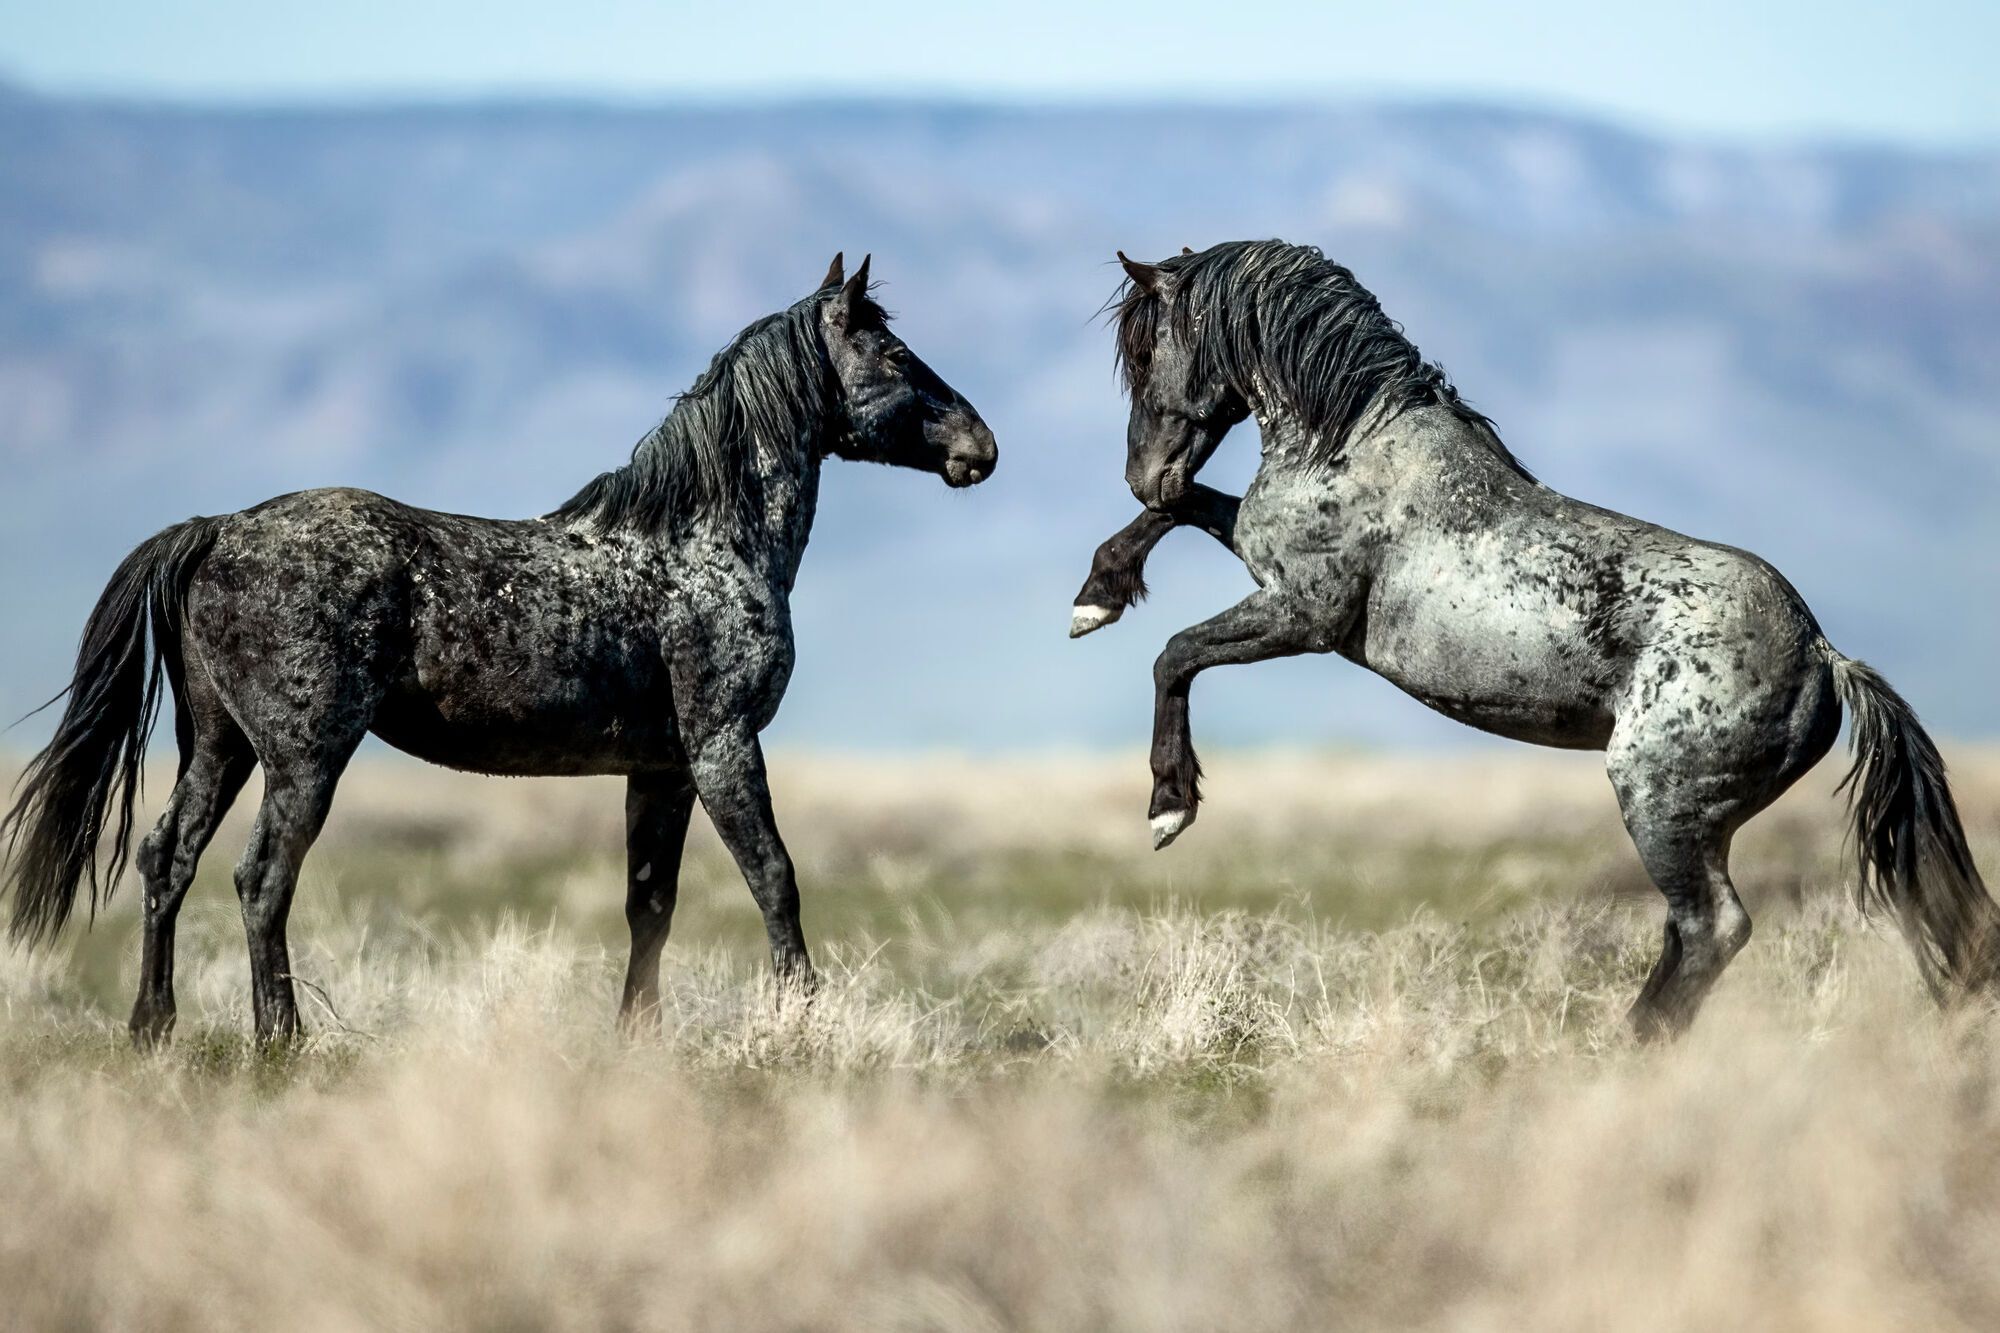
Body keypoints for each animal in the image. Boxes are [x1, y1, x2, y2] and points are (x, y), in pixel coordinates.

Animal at [0, 249, 1000, 1040]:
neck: (701, 540)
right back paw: (280, 1037)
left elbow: (650, 902)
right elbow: (774, 877)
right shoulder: (724, 746)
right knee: (261, 878)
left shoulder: (663, 769)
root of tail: (214, 529)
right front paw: (803, 1018)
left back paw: (153, 1026)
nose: (980, 446)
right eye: (894, 352)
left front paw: (637, 1034)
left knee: (167, 859)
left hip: (218, 745)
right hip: (301, 759)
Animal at [1080, 239, 2000, 1032]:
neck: (1356, 442)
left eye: (1147, 351)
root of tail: (1821, 655)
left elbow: (1176, 652)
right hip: (1698, 820)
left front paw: (1168, 805)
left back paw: (1629, 1049)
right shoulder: (1261, 562)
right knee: (1686, 931)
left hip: (1659, 803)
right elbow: (1186, 511)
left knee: (1713, 927)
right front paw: (1097, 596)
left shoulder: (1302, 614)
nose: (1141, 470)